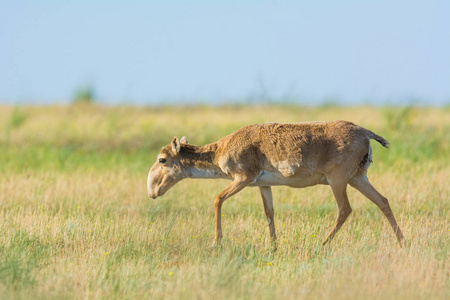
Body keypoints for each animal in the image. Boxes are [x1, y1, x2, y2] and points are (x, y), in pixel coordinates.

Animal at [147, 120, 404, 247]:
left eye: (162, 159)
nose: (152, 191)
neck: (220, 150)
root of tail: (366, 133)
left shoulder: (243, 178)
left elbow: (218, 199)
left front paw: (216, 242)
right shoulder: (263, 185)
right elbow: (269, 213)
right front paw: (273, 246)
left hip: (338, 180)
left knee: (345, 209)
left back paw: (322, 244)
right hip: (358, 178)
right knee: (383, 201)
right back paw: (403, 242)